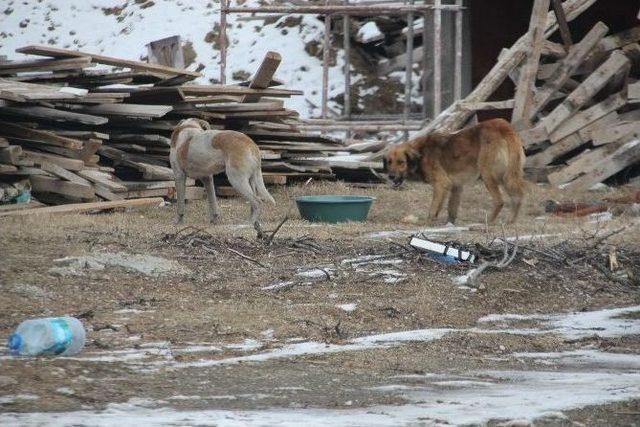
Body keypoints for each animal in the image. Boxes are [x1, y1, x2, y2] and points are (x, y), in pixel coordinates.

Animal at [384, 117, 524, 224]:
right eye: (389, 162)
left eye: (401, 162)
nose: (391, 176)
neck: (421, 152)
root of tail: (503, 125)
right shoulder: (456, 186)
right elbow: (451, 209)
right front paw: (449, 224)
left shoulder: (441, 183)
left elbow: (433, 208)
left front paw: (428, 222)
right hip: (507, 175)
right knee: (518, 198)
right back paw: (510, 221)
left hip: (488, 174)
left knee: (500, 201)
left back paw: (488, 222)